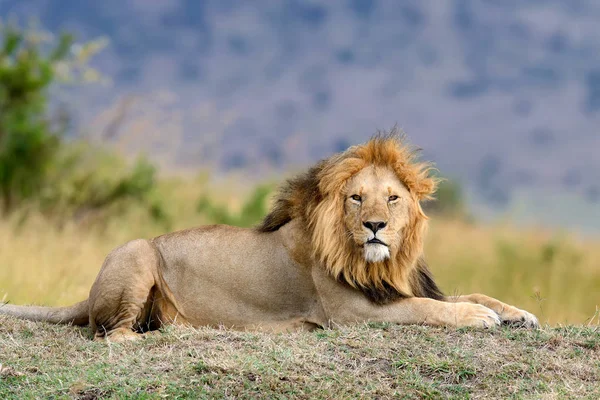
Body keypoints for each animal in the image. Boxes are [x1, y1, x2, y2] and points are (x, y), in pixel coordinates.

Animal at [0, 130, 540, 340]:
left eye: (392, 199)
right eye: (356, 198)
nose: (375, 226)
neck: (384, 261)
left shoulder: (397, 287)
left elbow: (471, 293)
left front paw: (517, 313)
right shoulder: (352, 313)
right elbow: (430, 308)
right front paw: (478, 318)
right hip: (136, 251)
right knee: (110, 333)